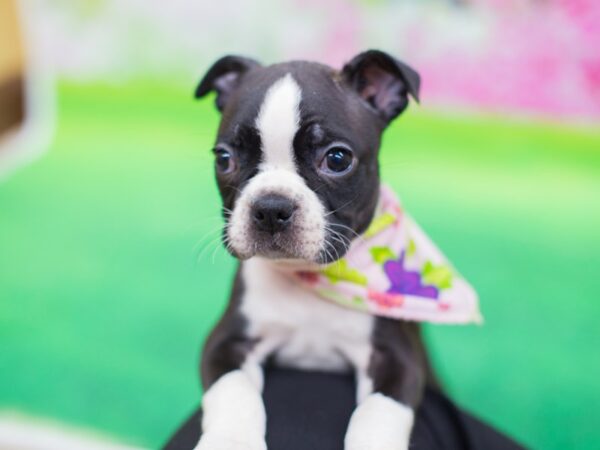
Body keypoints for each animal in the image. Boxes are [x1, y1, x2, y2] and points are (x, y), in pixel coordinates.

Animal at [192, 50, 432, 450]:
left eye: (337, 159)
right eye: (224, 159)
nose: (271, 207)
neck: (309, 278)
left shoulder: (396, 358)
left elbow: (379, 411)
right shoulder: (227, 342)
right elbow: (234, 390)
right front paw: (230, 441)